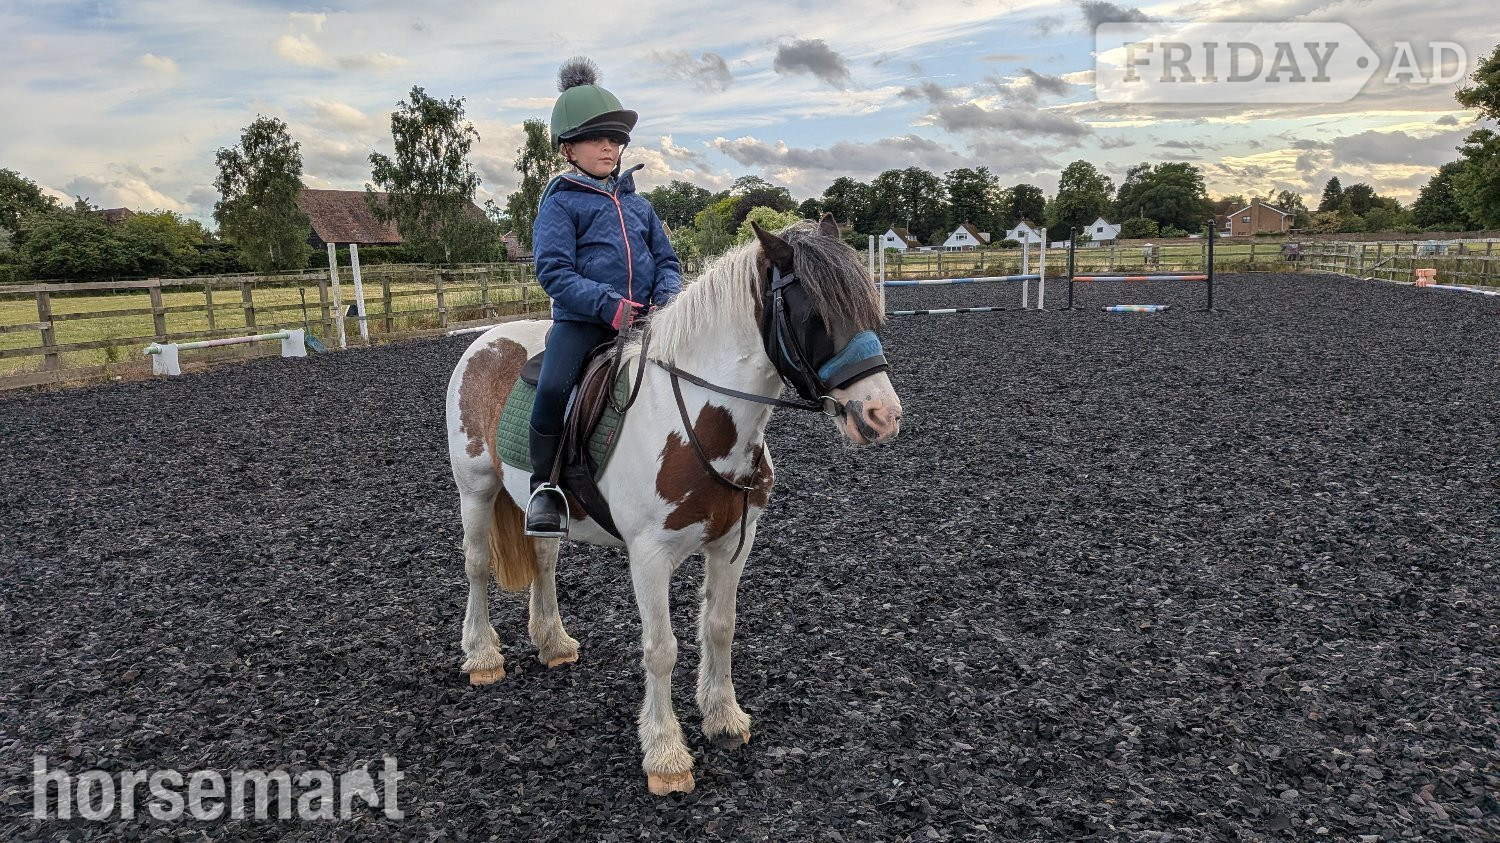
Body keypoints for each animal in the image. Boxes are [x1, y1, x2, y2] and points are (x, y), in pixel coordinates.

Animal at [443, 216, 903, 795]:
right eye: (813, 314)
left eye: (869, 306)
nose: (883, 415)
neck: (701, 424)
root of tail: (484, 341)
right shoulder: (649, 557)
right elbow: (661, 649)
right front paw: (665, 755)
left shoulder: (734, 543)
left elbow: (720, 626)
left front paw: (723, 718)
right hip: (475, 490)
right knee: (477, 565)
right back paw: (482, 654)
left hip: (538, 504)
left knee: (544, 561)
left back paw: (553, 643)